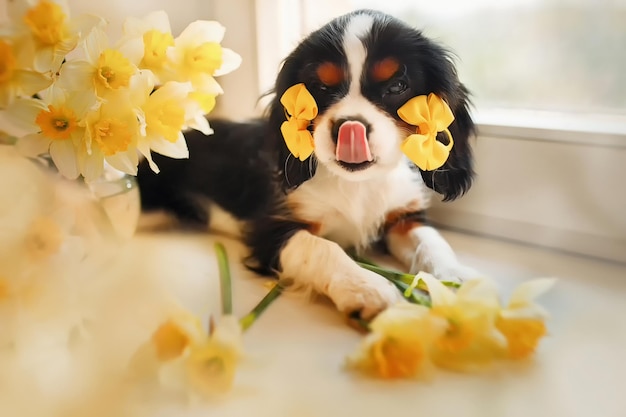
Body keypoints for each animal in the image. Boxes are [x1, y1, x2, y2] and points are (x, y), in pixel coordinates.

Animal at [138, 8, 478, 316]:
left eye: (397, 86)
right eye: (321, 87)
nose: (349, 127)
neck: (357, 184)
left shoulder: (403, 216)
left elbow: (430, 240)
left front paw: (455, 278)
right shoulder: (272, 229)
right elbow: (322, 248)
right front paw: (366, 286)